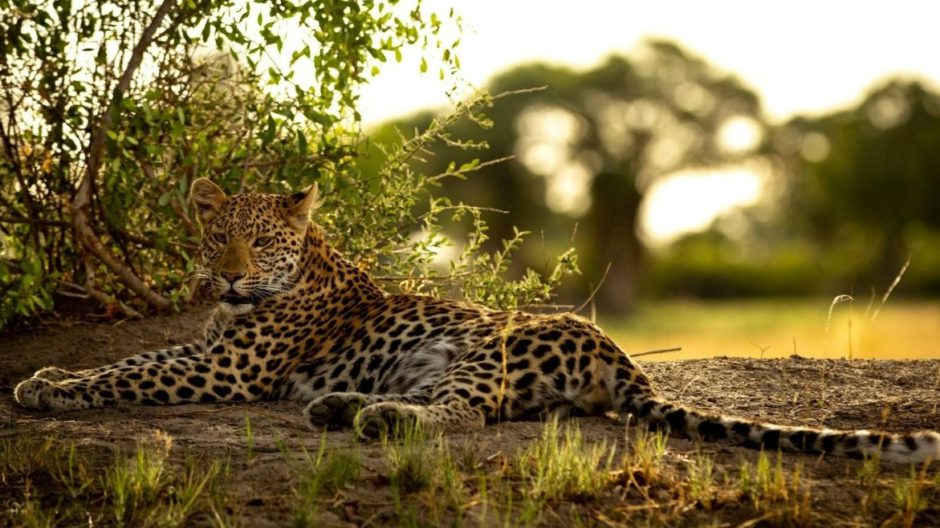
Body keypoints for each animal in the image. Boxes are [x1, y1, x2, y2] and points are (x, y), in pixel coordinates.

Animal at [12, 178, 940, 462]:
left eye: (263, 239)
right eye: (217, 234)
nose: (233, 273)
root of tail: (621, 357)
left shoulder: (227, 367)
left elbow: (129, 371)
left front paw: (49, 389)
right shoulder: (208, 346)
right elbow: (132, 360)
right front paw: (50, 374)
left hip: (487, 342)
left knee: (466, 414)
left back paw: (374, 418)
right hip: (444, 358)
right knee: (459, 408)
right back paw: (340, 407)